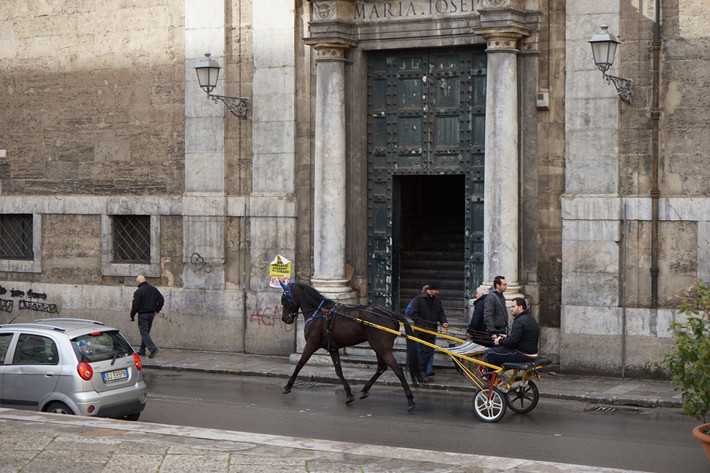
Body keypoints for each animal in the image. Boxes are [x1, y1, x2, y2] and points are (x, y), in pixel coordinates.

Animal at [278, 280, 422, 410]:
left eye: (284, 300)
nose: (285, 319)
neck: (319, 312)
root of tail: (390, 314)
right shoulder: (333, 348)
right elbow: (338, 370)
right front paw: (348, 393)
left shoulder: (311, 344)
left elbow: (299, 364)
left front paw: (288, 386)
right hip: (379, 347)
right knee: (382, 367)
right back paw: (365, 389)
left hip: (382, 348)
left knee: (397, 369)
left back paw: (410, 399)